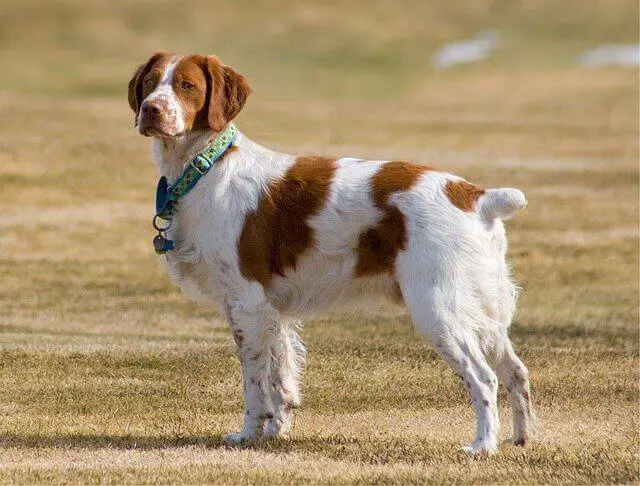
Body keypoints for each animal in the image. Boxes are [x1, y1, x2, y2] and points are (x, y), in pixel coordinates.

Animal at [126, 51, 536, 454]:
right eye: (150, 82)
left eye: (187, 86)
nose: (150, 110)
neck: (206, 168)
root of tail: (475, 195)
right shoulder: (272, 311)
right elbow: (280, 375)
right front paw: (275, 431)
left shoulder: (247, 303)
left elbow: (255, 382)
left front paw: (247, 435)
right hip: (482, 309)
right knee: (516, 371)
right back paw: (522, 438)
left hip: (437, 307)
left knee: (484, 378)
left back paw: (483, 445)